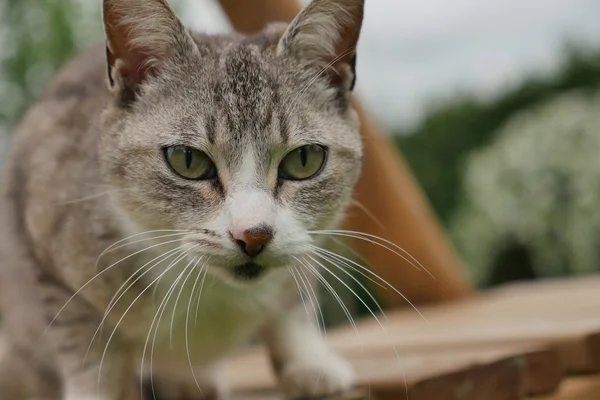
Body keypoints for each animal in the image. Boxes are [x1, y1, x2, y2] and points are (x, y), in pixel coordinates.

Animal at [0, 0, 366, 398]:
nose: (254, 235)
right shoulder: (42, 248)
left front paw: (312, 363)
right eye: (187, 160)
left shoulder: (303, 241)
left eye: (304, 160)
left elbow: (295, 301)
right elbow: (88, 352)